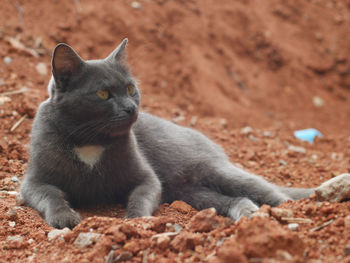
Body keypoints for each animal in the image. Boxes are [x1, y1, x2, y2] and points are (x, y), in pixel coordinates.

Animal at [19, 38, 314, 229]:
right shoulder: (33, 182)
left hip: (213, 170)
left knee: (268, 190)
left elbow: (141, 195)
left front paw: (135, 220)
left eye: (130, 88)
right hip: (190, 192)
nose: (130, 108)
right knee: (233, 198)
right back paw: (247, 212)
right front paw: (64, 217)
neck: (90, 142)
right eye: (102, 94)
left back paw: (296, 211)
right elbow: (50, 195)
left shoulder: (148, 178)